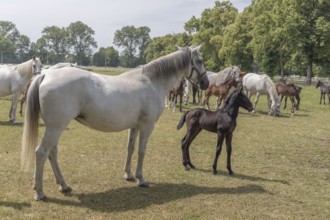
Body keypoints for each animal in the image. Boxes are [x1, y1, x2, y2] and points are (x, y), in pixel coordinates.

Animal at [20, 45, 208, 200]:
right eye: (199, 61)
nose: (206, 83)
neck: (152, 82)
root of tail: (46, 75)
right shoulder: (147, 126)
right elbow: (142, 151)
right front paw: (140, 179)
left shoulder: (134, 126)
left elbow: (130, 148)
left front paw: (128, 175)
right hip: (55, 128)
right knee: (41, 152)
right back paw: (39, 192)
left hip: (55, 128)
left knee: (52, 153)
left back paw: (64, 185)